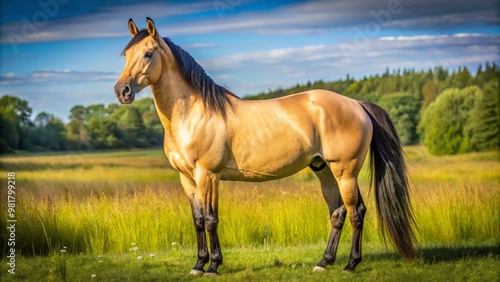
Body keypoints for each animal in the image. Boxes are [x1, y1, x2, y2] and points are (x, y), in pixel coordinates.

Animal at [114, 18, 418, 278]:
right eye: (127, 55)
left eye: (149, 53)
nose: (122, 91)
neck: (193, 114)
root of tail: (357, 104)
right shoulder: (187, 178)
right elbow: (198, 219)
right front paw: (198, 265)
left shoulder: (208, 175)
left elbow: (211, 219)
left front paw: (213, 266)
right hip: (324, 170)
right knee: (338, 212)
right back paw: (324, 262)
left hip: (345, 172)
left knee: (356, 212)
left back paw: (350, 265)